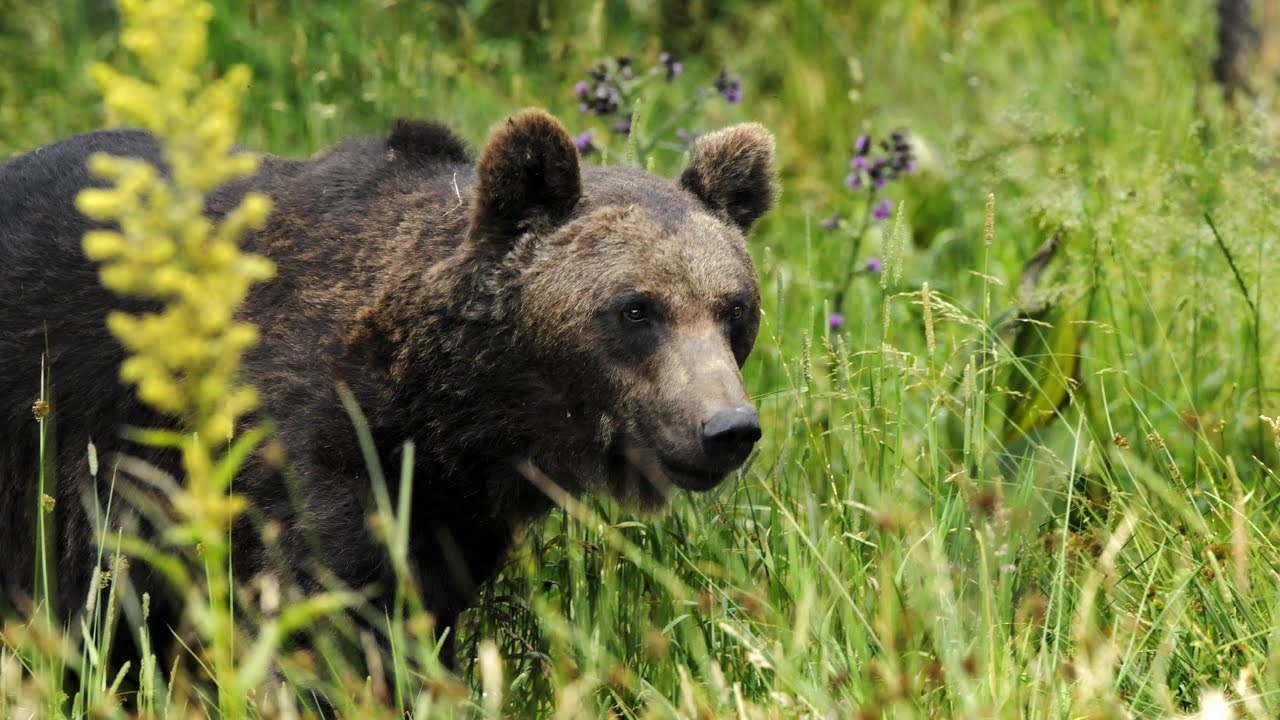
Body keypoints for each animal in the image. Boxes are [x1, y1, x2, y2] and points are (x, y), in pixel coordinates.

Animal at [0, 110, 778, 661]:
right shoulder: (298, 447)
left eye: (733, 307)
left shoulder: (450, 505)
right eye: (636, 309)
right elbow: (327, 602)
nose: (726, 427)